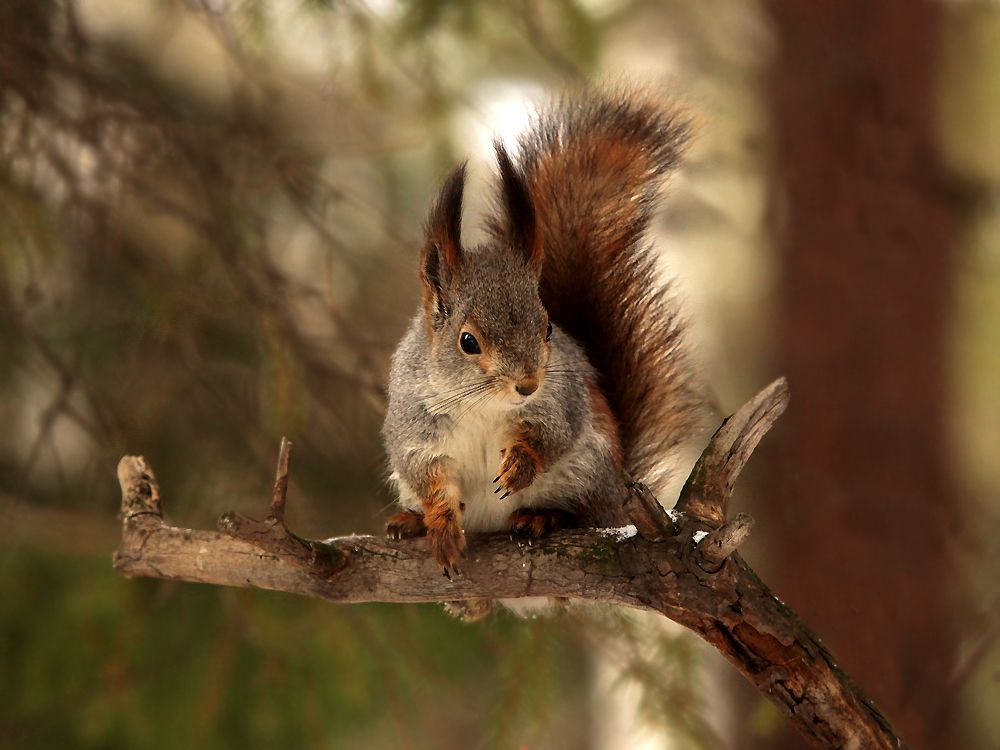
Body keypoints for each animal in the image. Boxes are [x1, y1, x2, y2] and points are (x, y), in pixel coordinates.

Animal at [382, 88, 712, 608]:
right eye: (468, 341)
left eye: (549, 327)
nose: (527, 385)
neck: (483, 406)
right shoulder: (415, 426)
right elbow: (428, 476)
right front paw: (439, 525)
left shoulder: (562, 402)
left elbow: (551, 435)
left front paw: (519, 466)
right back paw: (411, 525)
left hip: (590, 472)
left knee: (578, 510)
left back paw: (544, 517)